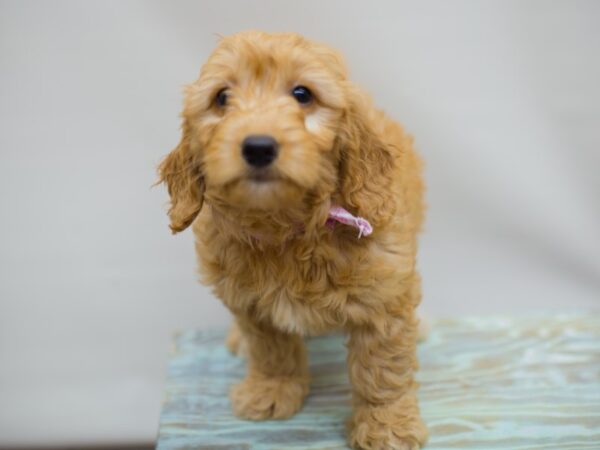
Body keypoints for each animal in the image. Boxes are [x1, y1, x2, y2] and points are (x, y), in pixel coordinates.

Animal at [161, 29, 426, 448]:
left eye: (303, 94)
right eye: (221, 97)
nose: (258, 147)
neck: (288, 229)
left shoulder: (385, 297)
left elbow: (382, 368)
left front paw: (387, 426)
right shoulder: (251, 303)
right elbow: (271, 349)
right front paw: (271, 390)